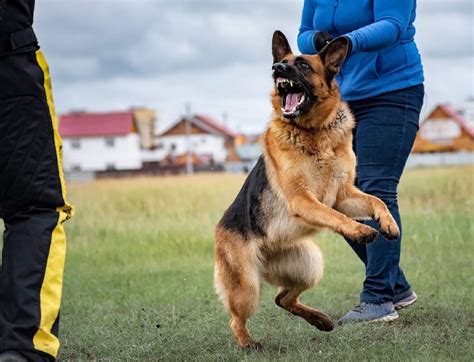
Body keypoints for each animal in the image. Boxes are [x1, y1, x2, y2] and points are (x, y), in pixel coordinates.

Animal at [215, 31, 400, 348]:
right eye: (282, 63)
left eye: (302, 65)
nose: (277, 68)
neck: (314, 132)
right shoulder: (304, 199)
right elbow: (335, 217)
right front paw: (359, 230)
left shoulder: (343, 196)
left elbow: (377, 200)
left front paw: (388, 223)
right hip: (247, 288)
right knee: (236, 319)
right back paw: (248, 342)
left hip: (310, 267)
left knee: (282, 298)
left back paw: (320, 320)